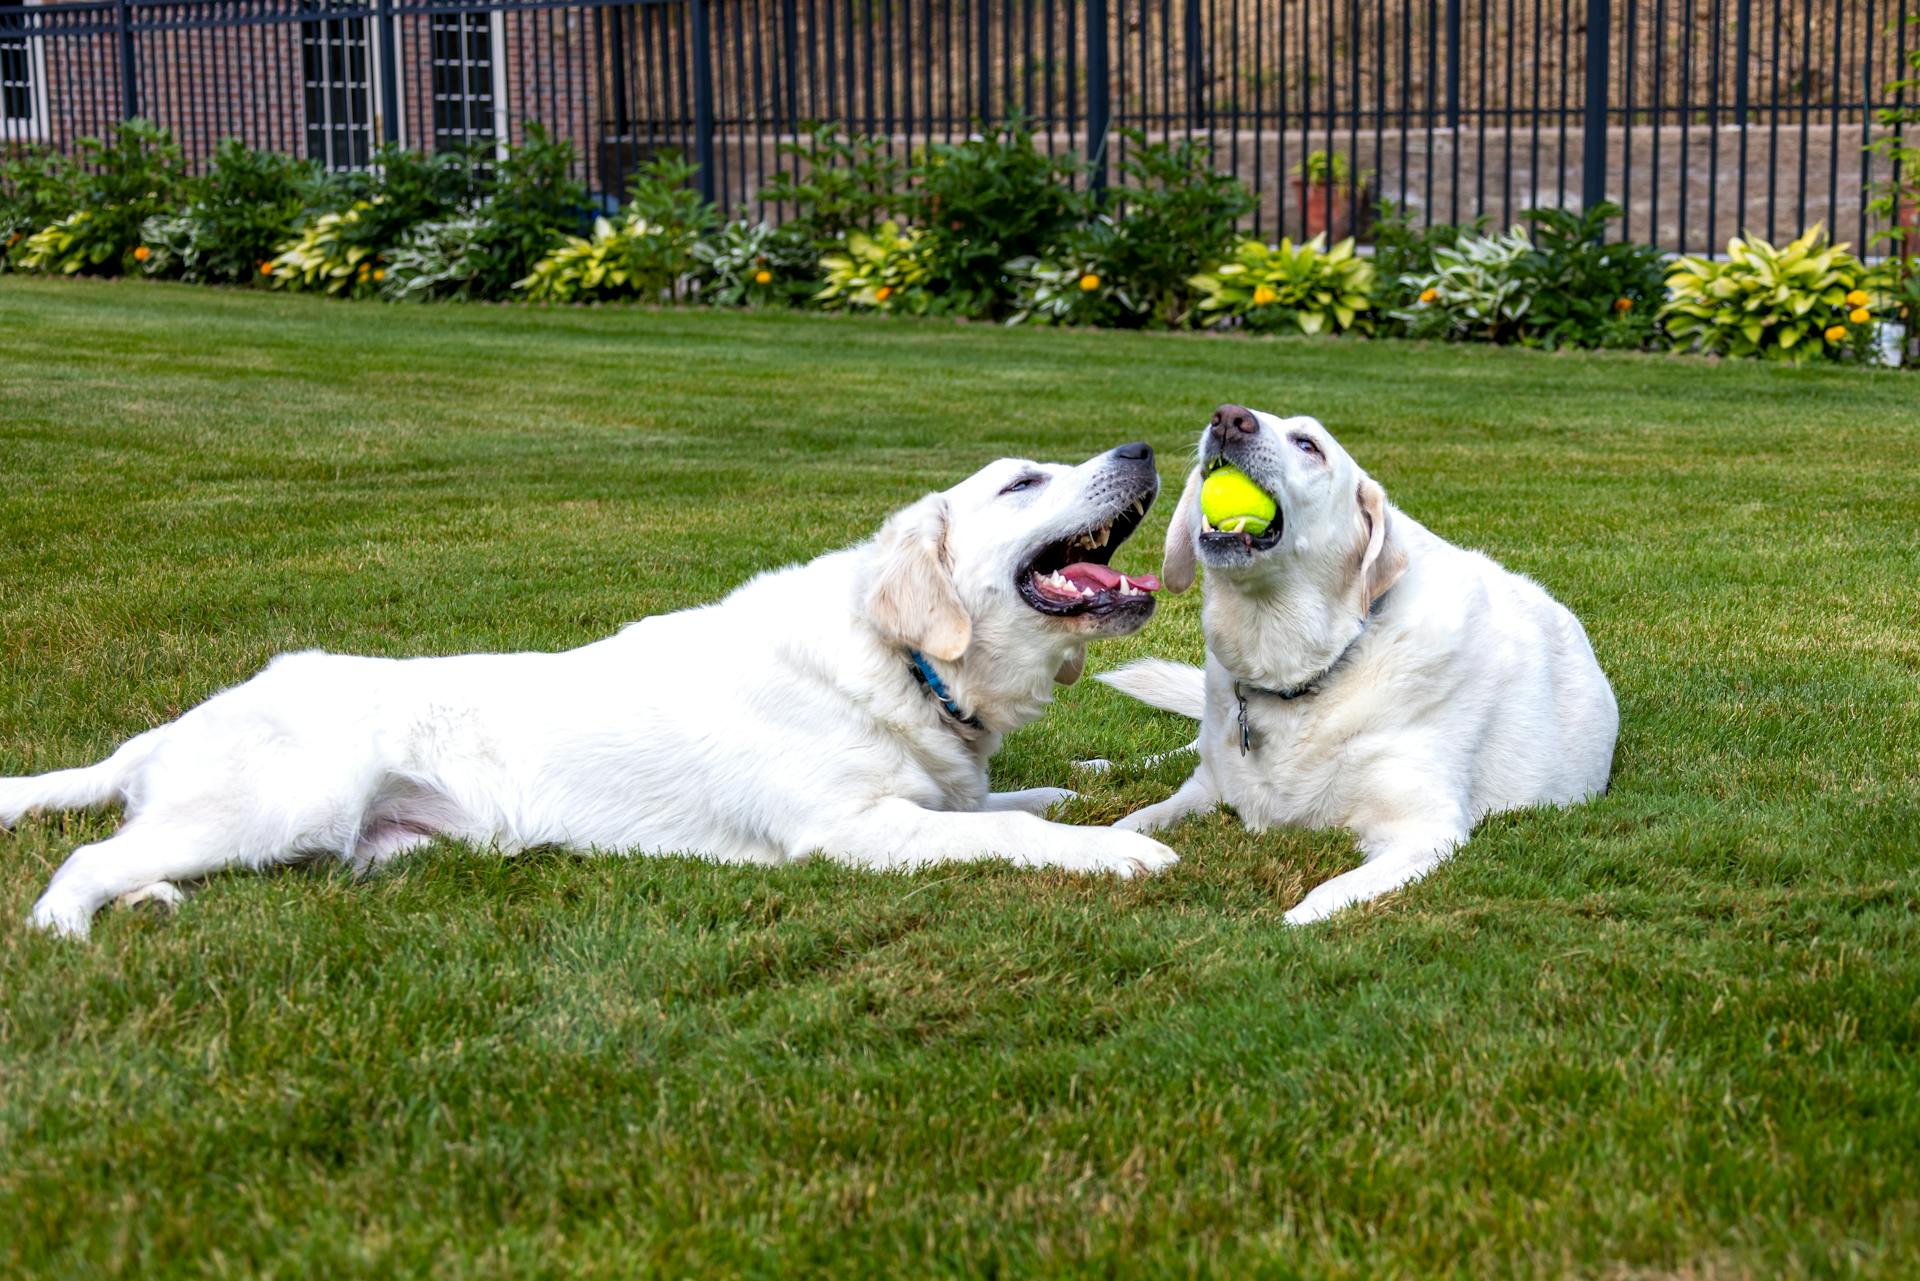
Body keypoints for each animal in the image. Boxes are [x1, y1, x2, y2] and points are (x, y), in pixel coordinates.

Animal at [7, 445, 1175, 937]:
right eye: (1020, 482)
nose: (1143, 444)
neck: (906, 664)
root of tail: (172, 723)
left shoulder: (937, 793)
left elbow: (1012, 802)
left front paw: (1082, 801)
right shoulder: (853, 831)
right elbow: (1005, 830)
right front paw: (1114, 850)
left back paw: (150, 902)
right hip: (281, 806)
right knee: (80, 859)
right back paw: (72, 930)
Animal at [1098, 405, 1620, 925]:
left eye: (1308, 445)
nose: (1228, 419)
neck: (1301, 671)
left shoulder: (1423, 831)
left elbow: (1319, 902)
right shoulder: (1205, 788)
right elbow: (1133, 820)